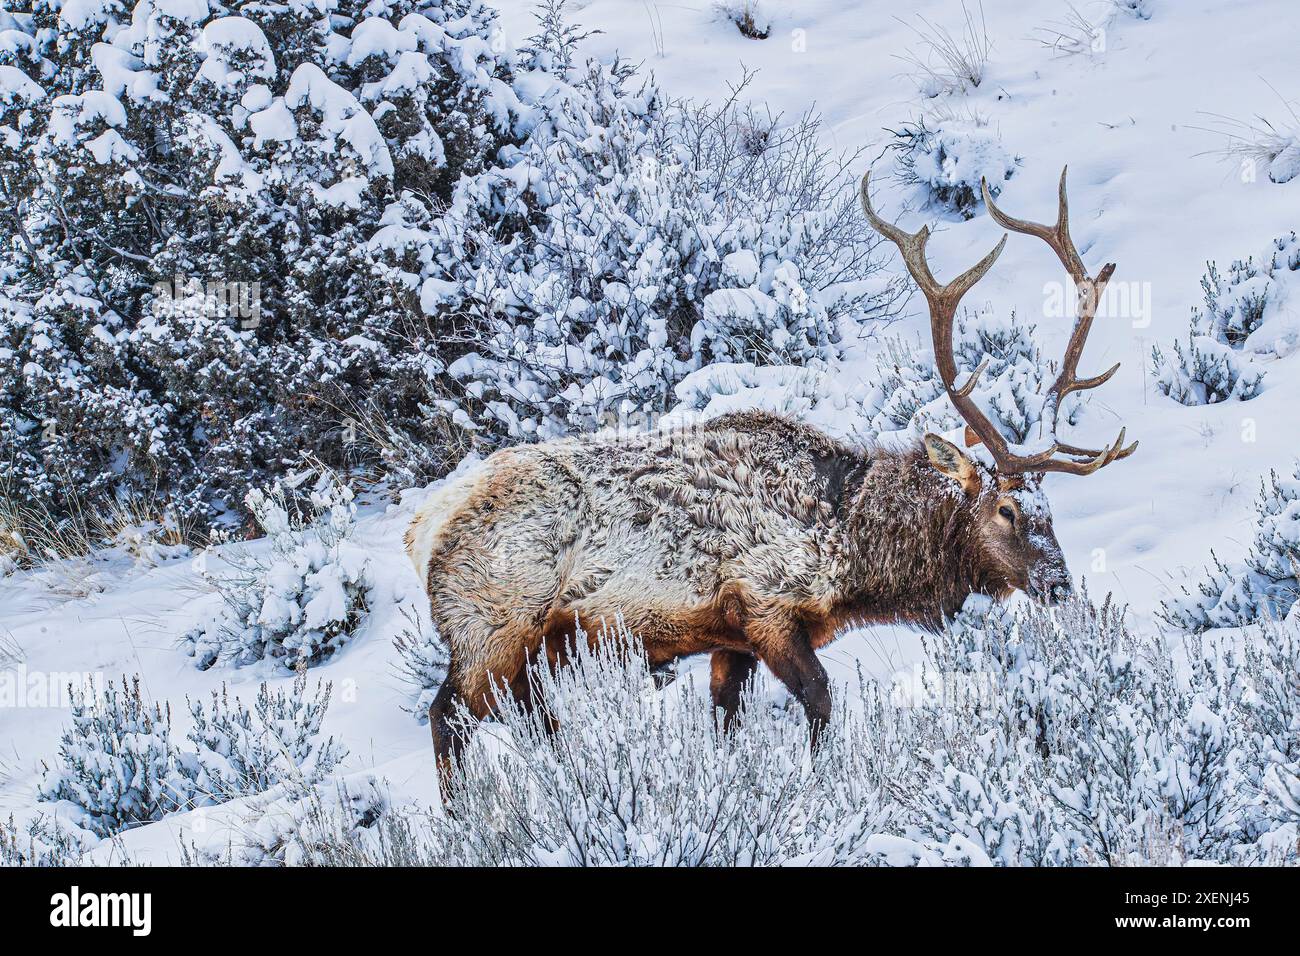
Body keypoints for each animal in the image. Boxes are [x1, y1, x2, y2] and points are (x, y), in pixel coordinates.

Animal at [408, 164, 1138, 790]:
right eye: (1006, 512)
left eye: (1051, 511)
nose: (1058, 582)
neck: (850, 544)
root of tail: (421, 531)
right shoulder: (766, 607)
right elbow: (819, 702)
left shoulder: (728, 639)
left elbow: (726, 723)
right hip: (492, 631)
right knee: (459, 718)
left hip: (515, 645)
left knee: (492, 717)